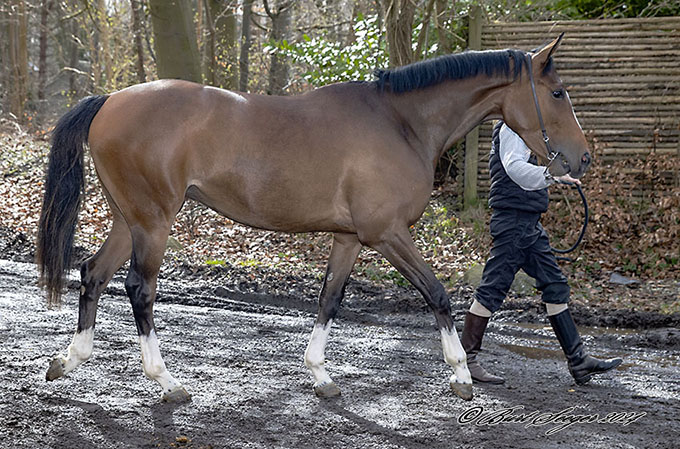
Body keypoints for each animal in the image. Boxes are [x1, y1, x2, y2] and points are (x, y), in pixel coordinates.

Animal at [37, 34, 588, 400]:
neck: (401, 123)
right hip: (153, 222)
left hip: (127, 219)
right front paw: (460, 374)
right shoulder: (387, 234)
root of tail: (110, 99)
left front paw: (321, 375)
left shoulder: (349, 238)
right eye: (558, 93)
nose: (581, 160)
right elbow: (437, 293)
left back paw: (68, 360)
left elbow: (330, 300)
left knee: (94, 274)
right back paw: (167, 382)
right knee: (139, 289)